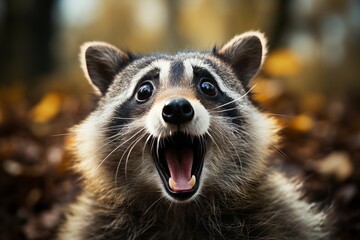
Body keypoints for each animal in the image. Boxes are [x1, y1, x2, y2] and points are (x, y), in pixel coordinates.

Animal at [58, 31, 330, 238]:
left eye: (207, 86)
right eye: (144, 90)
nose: (177, 108)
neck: (181, 208)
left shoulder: (282, 212)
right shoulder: (93, 223)